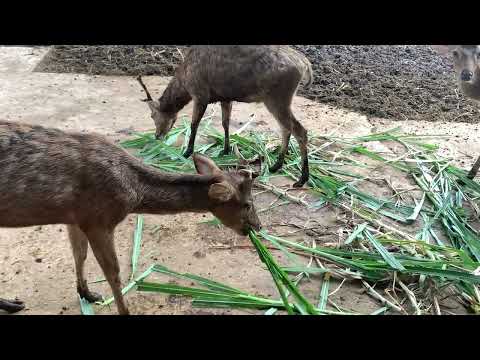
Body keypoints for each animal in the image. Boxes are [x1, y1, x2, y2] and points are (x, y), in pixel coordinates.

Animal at [0, 119, 260, 314]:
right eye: (248, 204)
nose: (257, 226)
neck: (131, 194)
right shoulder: (98, 219)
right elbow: (113, 273)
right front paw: (123, 310)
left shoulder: (75, 216)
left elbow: (79, 255)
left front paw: (87, 293)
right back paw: (13, 304)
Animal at [137, 45, 314, 188]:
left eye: (152, 115)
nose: (157, 135)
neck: (185, 81)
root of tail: (306, 65)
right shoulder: (225, 98)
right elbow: (225, 123)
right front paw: (225, 149)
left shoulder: (200, 94)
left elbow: (195, 124)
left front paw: (187, 152)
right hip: (278, 100)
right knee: (286, 128)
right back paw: (275, 166)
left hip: (277, 97)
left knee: (300, 130)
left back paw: (302, 179)